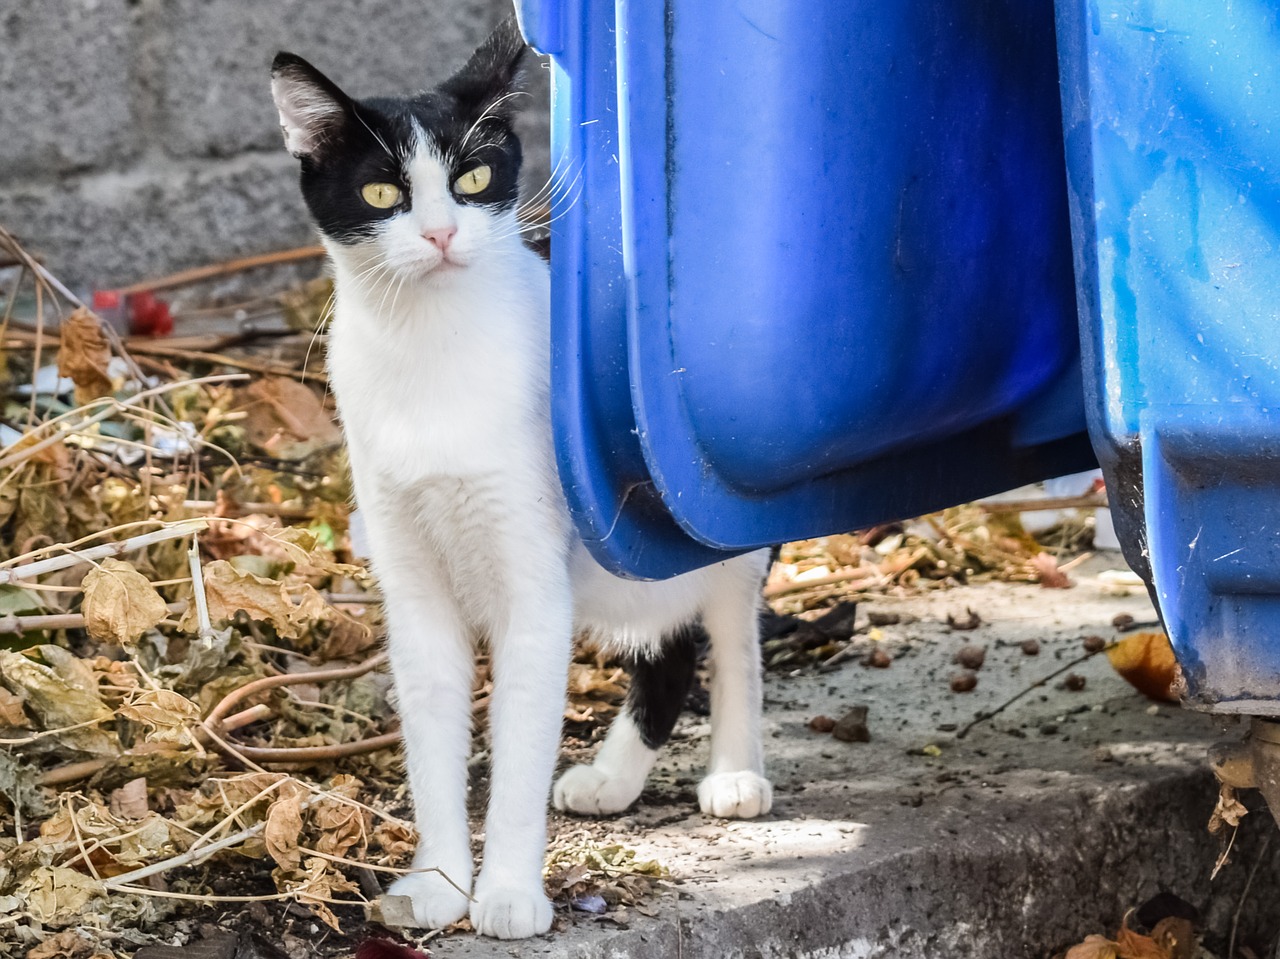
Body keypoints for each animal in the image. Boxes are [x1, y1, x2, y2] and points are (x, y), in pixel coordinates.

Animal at [270, 14, 768, 937]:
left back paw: (735, 769)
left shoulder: (533, 585)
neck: (432, 351)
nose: (440, 236)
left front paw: (506, 893)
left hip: (715, 522)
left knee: (730, 626)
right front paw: (437, 882)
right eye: (383, 195)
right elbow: (433, 736)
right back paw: (614, 776)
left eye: (472, 177)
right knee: (671, 638)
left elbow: (519, 744)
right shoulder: (413, 589)